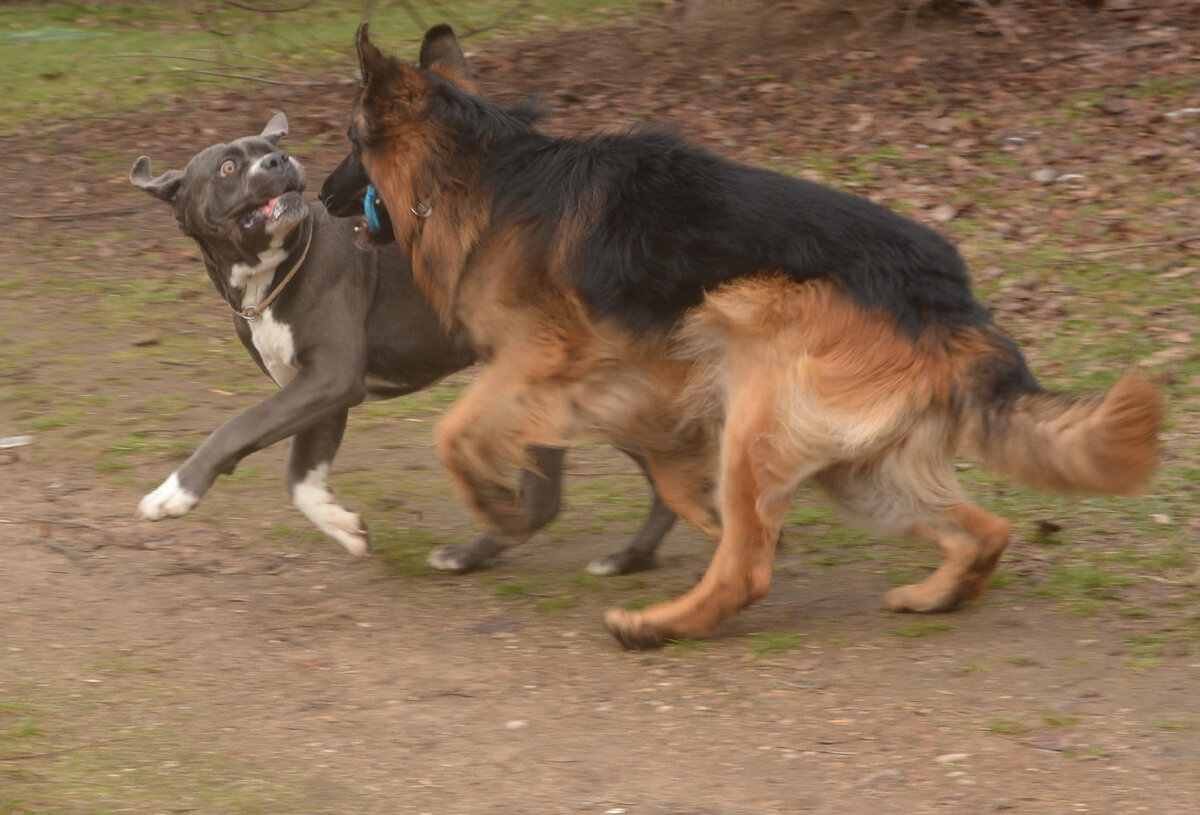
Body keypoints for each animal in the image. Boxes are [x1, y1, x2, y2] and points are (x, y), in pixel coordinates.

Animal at [133, 113, 676, 573]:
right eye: (227, 166)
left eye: (272, 149)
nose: (279, 162)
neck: (268, 275)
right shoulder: (320, 392)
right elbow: (300, 478)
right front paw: (344, 527)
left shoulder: (330, 378)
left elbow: (237, 427)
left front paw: (174, 493)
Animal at [345, 27, 1161, 648]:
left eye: (351, 143)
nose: (320, 192)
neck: (477, 172)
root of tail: (950, 300)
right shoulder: (624, 382)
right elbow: (668, 474)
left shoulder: (543, 360)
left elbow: (454, 433)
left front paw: (492, 504)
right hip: (854, 466)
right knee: (983, 529)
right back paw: (934, 596)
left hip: (754, 374)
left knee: (748, 569)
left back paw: (656, 627)